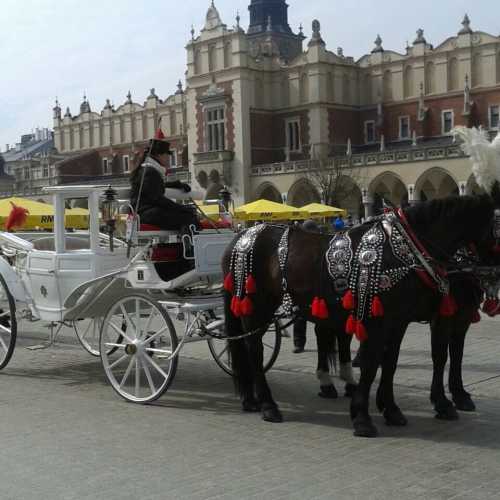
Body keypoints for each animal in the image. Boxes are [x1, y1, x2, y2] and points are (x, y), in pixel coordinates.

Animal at [225, 195, 498, 438]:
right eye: (496, 229)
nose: (493, 272)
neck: (405, 250)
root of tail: (242, 237)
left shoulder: (400, 320)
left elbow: (393, 362)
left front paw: (392, 409)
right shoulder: (385, 320)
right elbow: (374, 363)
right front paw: (363, 418)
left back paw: (253, 399)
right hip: (256, 305)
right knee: (254, 350)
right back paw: (269, 405)